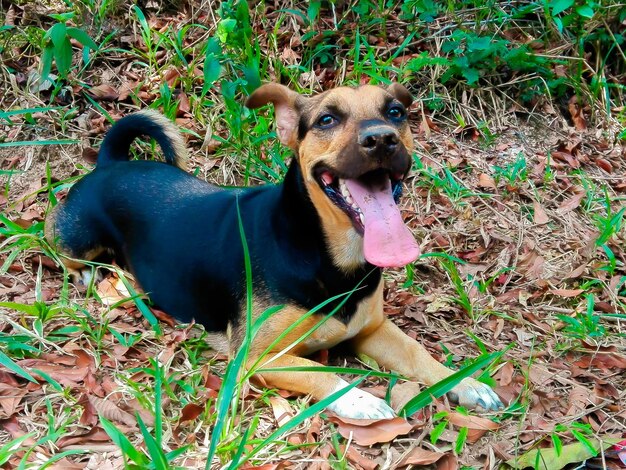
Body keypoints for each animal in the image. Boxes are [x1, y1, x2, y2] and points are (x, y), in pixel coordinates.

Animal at [45, 84, 502, 418]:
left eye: (395, 113)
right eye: (327, 119)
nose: (382, 139)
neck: (325, 253)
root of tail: (110, 163)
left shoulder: (373, 330)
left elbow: (419, 353)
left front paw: (467, 383)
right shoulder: (259, 356)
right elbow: (318, 372)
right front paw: (361, 399)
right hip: (76, 237)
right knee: (61, 250)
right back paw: (90, 274)